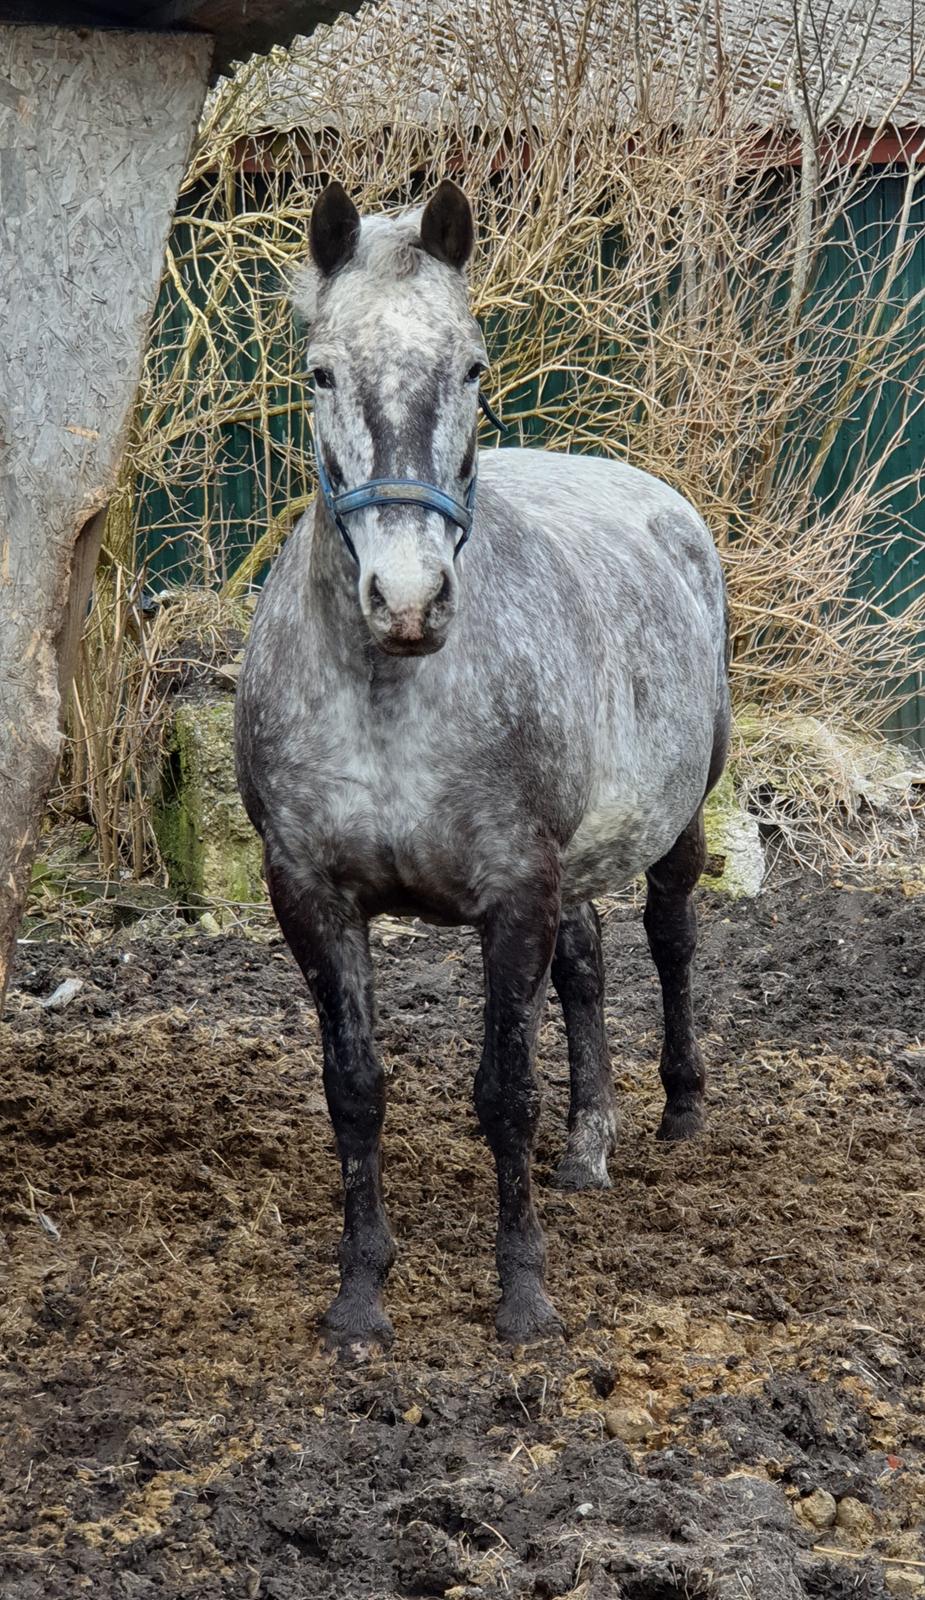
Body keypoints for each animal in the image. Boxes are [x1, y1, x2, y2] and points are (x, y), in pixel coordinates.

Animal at [232, 181, 726, 1356]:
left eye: (471, 365)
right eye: (319, 372)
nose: (407, 599)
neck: (390, 695)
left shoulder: (514, 890)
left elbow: (503, 1091)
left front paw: (523, 1299)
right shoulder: (312, 896)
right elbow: (355, 1089)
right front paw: (361, 1295)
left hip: (679, 819)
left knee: (670, 937)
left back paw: (679, 1106)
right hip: (576, 865)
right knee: (586, 970)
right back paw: (588, 1147)